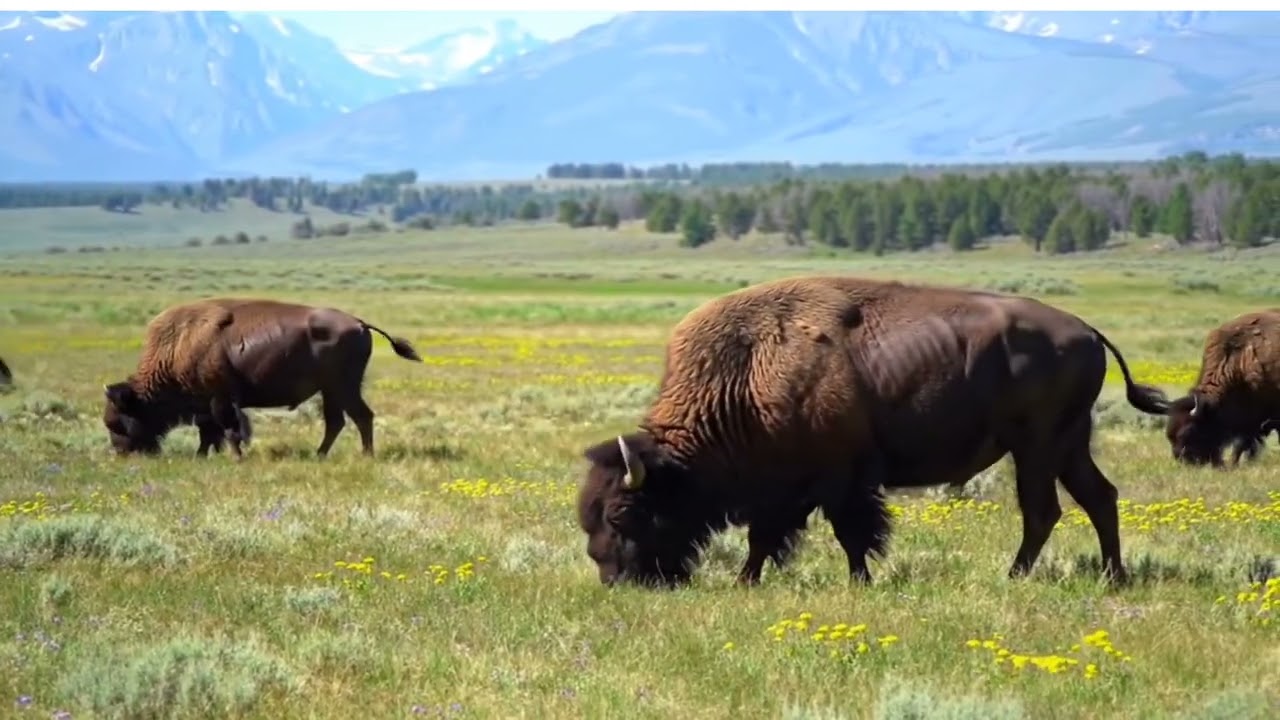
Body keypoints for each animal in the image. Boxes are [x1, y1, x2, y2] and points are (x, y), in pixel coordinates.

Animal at [103, 297, 421, 458]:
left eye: (119, 421)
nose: (121, 453)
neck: (179, 345)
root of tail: (359, 323)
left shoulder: (220, 399)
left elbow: (229, 429)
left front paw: (235, 457)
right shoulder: (207, 405)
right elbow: (210, 432)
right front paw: (203, 455)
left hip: (343, 387)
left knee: (360, 417)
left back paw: (365, 456)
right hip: (331, 390)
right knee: (338, 422)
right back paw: (319, 455)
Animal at [576, 275, 1169, 589]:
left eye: (622, 513)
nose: (615, 580)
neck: (747, 373)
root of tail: (1087, 331)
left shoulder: (839, 481)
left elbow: (848, 533)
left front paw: (859, 581)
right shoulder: (784, 488)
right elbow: (765, 536)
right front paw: (747, 580)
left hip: (1036, 447)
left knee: (1044, 510)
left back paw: (1015, 576)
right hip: (1068, 443)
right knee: (1099, 497)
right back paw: (1113, 576)